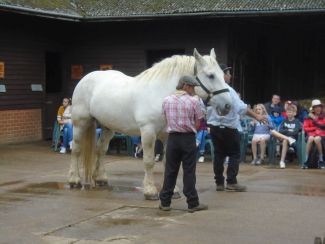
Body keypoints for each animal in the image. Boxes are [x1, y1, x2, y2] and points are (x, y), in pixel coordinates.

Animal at [68, 48, 230, 200]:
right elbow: (149, 161)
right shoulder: (148, 132)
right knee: (76, 149)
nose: (227, 105)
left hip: (108, 127)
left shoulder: (168, 135)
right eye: (211, 75)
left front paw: (173, 190)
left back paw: (100, 178)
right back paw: (74, 180)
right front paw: (150, 191)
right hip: (80, 123)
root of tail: (86, 78)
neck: (160, 93)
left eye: (222, 75)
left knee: (100, 150)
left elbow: (168, 162)